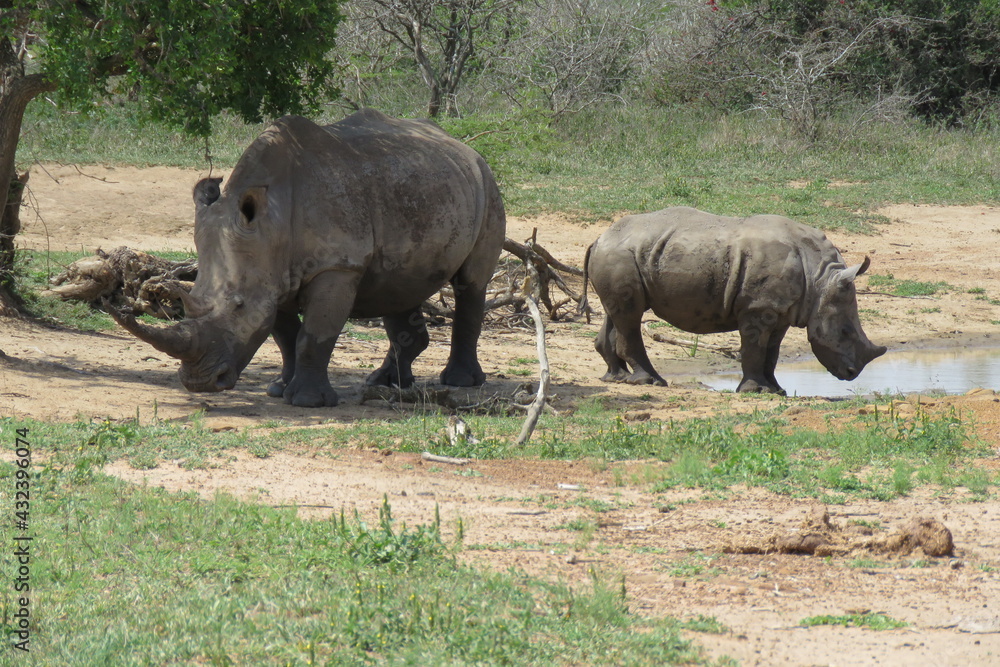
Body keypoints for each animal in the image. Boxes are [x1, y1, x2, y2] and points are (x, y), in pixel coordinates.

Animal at [110, 109, 506, 407]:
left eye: (238, 306)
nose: (199, 382)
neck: (273, 222)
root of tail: (465, 148)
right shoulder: (273, 274)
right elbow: (285, 337)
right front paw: (278, 389)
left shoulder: (337, 267)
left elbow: (314, 336)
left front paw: (307, 402)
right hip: (425, 189)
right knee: (397, 288)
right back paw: (385, 383)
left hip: (487, 184)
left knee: (471, 283)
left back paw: (459, 382)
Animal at [583, 207, 886, 394]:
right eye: (845, 332)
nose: (852, 373)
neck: (819, 278)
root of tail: (598, 238)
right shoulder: (758, 307)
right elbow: (754, 348)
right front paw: (754, 391)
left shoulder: (781, 311)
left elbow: (772, 352)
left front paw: (777, 391)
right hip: (620, 255)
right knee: (630, 317)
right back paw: (652, 382)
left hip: (625, 255)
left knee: (618, 313)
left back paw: (618, 378)